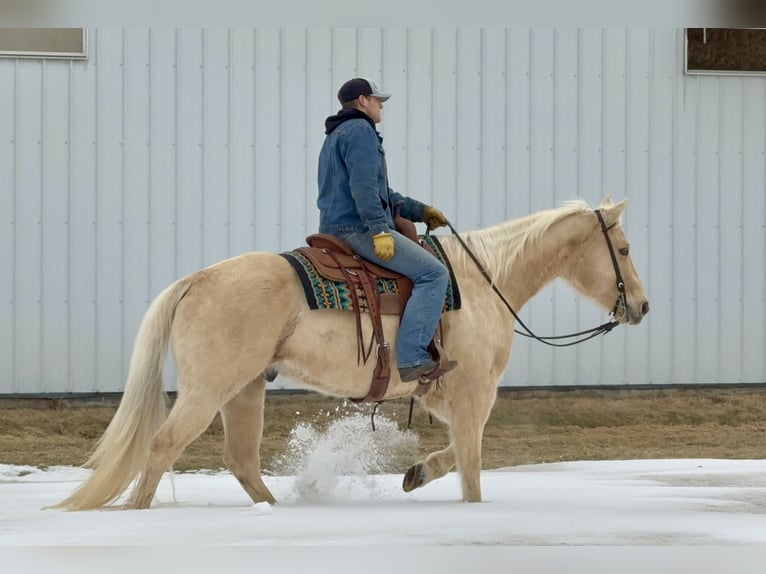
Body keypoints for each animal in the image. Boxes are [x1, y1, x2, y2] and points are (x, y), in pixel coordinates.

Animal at [54, 196, 648, 511]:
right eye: (621, 249)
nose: (641, 306)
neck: (483, 283)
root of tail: (196, 279)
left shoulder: (448, 400)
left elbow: (455, 456)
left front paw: (417, 474)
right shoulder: (475, 395)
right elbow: (473, 469)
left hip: (243, 390)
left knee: (241, 461)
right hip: (208, 390)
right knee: (162, 446)